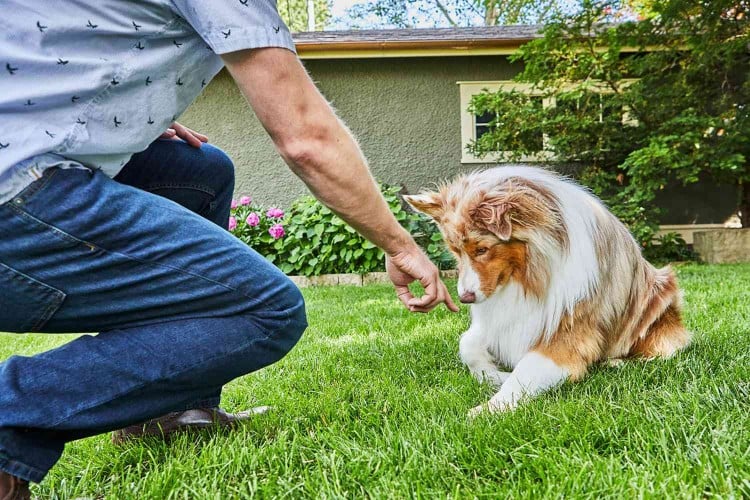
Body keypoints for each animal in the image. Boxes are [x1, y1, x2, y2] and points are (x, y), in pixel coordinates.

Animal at [406, 166, 692, 416]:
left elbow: (524, 373)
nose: (465, 298)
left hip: (660, 301)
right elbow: (467, 345)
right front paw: (495, 376)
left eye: (482, 249)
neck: (528, 278)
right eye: (455, 251)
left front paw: (488, 409)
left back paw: (617, 361)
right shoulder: (502, 318)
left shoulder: (567, 334)